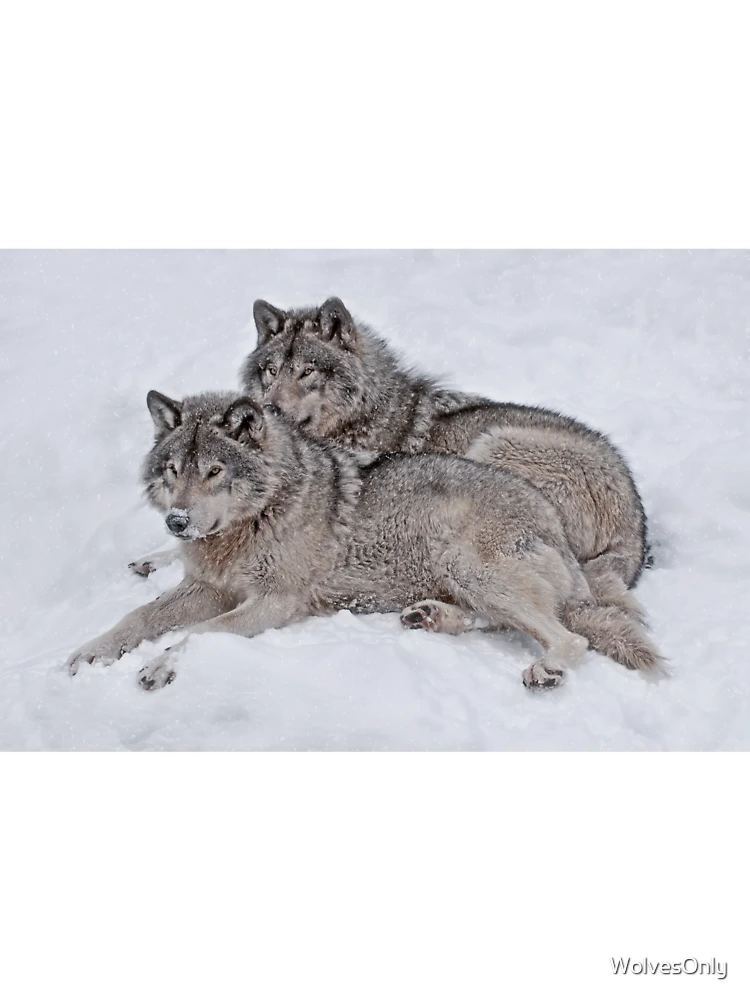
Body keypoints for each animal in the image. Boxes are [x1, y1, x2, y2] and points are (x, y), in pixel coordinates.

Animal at [68, 391, 664, 690]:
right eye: (173, 471)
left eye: (214, 472)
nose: (177, 523)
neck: (258, 517)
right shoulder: (207, 587)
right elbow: (137, 618)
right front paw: (90, 652)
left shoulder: (275, 602)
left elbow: (200, 634)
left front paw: (160, 665)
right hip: (468, 576)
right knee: (507, 621)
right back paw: (430, 617)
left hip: (473, 564)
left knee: (570, 638)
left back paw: (545, 668)